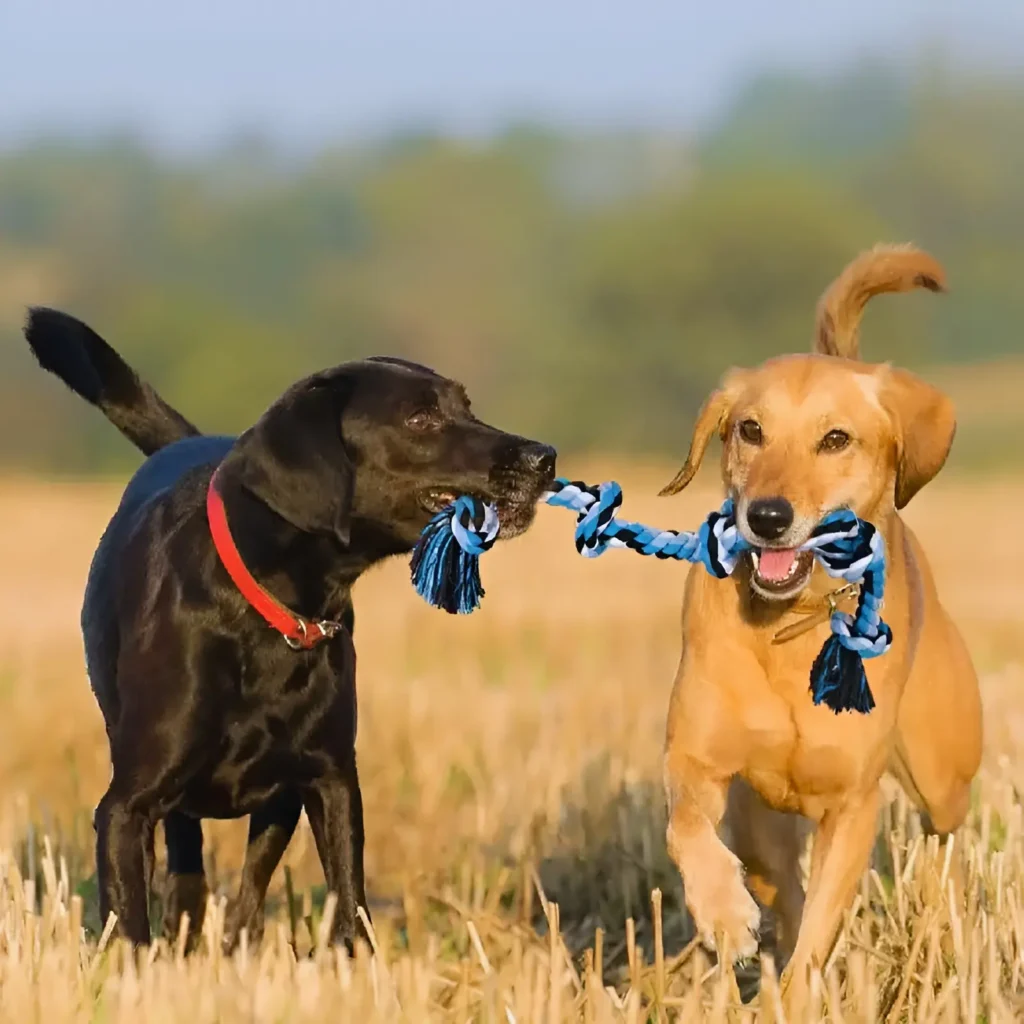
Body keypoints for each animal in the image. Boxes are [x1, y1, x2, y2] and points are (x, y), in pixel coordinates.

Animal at [24, 307, 557, 946]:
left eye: (467, 405)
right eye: (420, 418)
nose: (544, 457)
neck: (270, 610)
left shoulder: (330, 782)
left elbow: (349, 906)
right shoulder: (126, 808)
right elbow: (128, 923)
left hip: (279, 802)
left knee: (249, 890)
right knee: (189, 866)